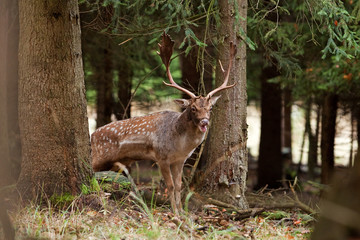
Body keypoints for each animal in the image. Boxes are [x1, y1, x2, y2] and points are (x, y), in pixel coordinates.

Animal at [90, 31, 236, 214]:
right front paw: (175, 212)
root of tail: (92, 135)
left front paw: (182, 211)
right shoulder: (161, 157)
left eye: (210, 108)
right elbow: (170, 185)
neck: (180, 144)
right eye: (193, 108)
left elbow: (179, 186)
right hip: (98, 157)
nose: (204, 122)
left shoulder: (180, 160)